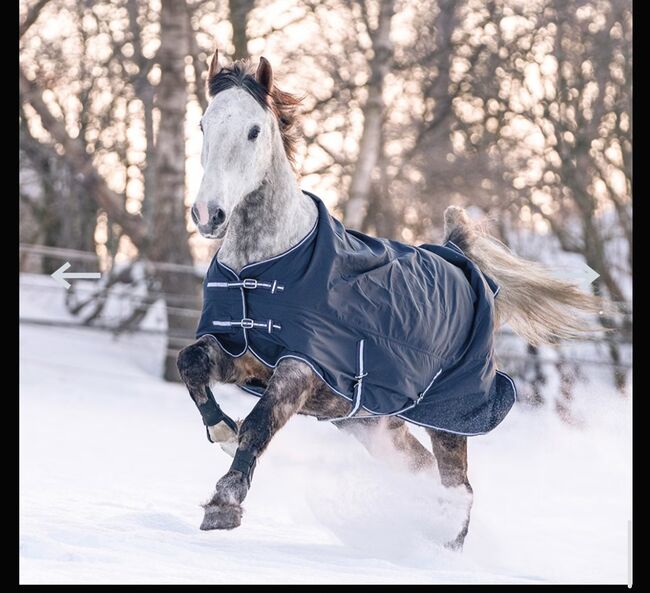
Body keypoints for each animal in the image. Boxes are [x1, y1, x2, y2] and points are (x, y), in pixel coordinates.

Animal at [175, 51, 600, 552]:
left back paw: (442, 549)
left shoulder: (303, 368)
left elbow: (260, 423)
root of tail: (462, 259)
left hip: (449, 420)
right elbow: (190, 363)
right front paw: (223, 430)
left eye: (254, 130)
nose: (208, 214)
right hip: (374, 424)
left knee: (460, 489)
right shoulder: (242, 354)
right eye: (203, 124)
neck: (263, 268)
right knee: (426, 473)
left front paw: (224, 504)